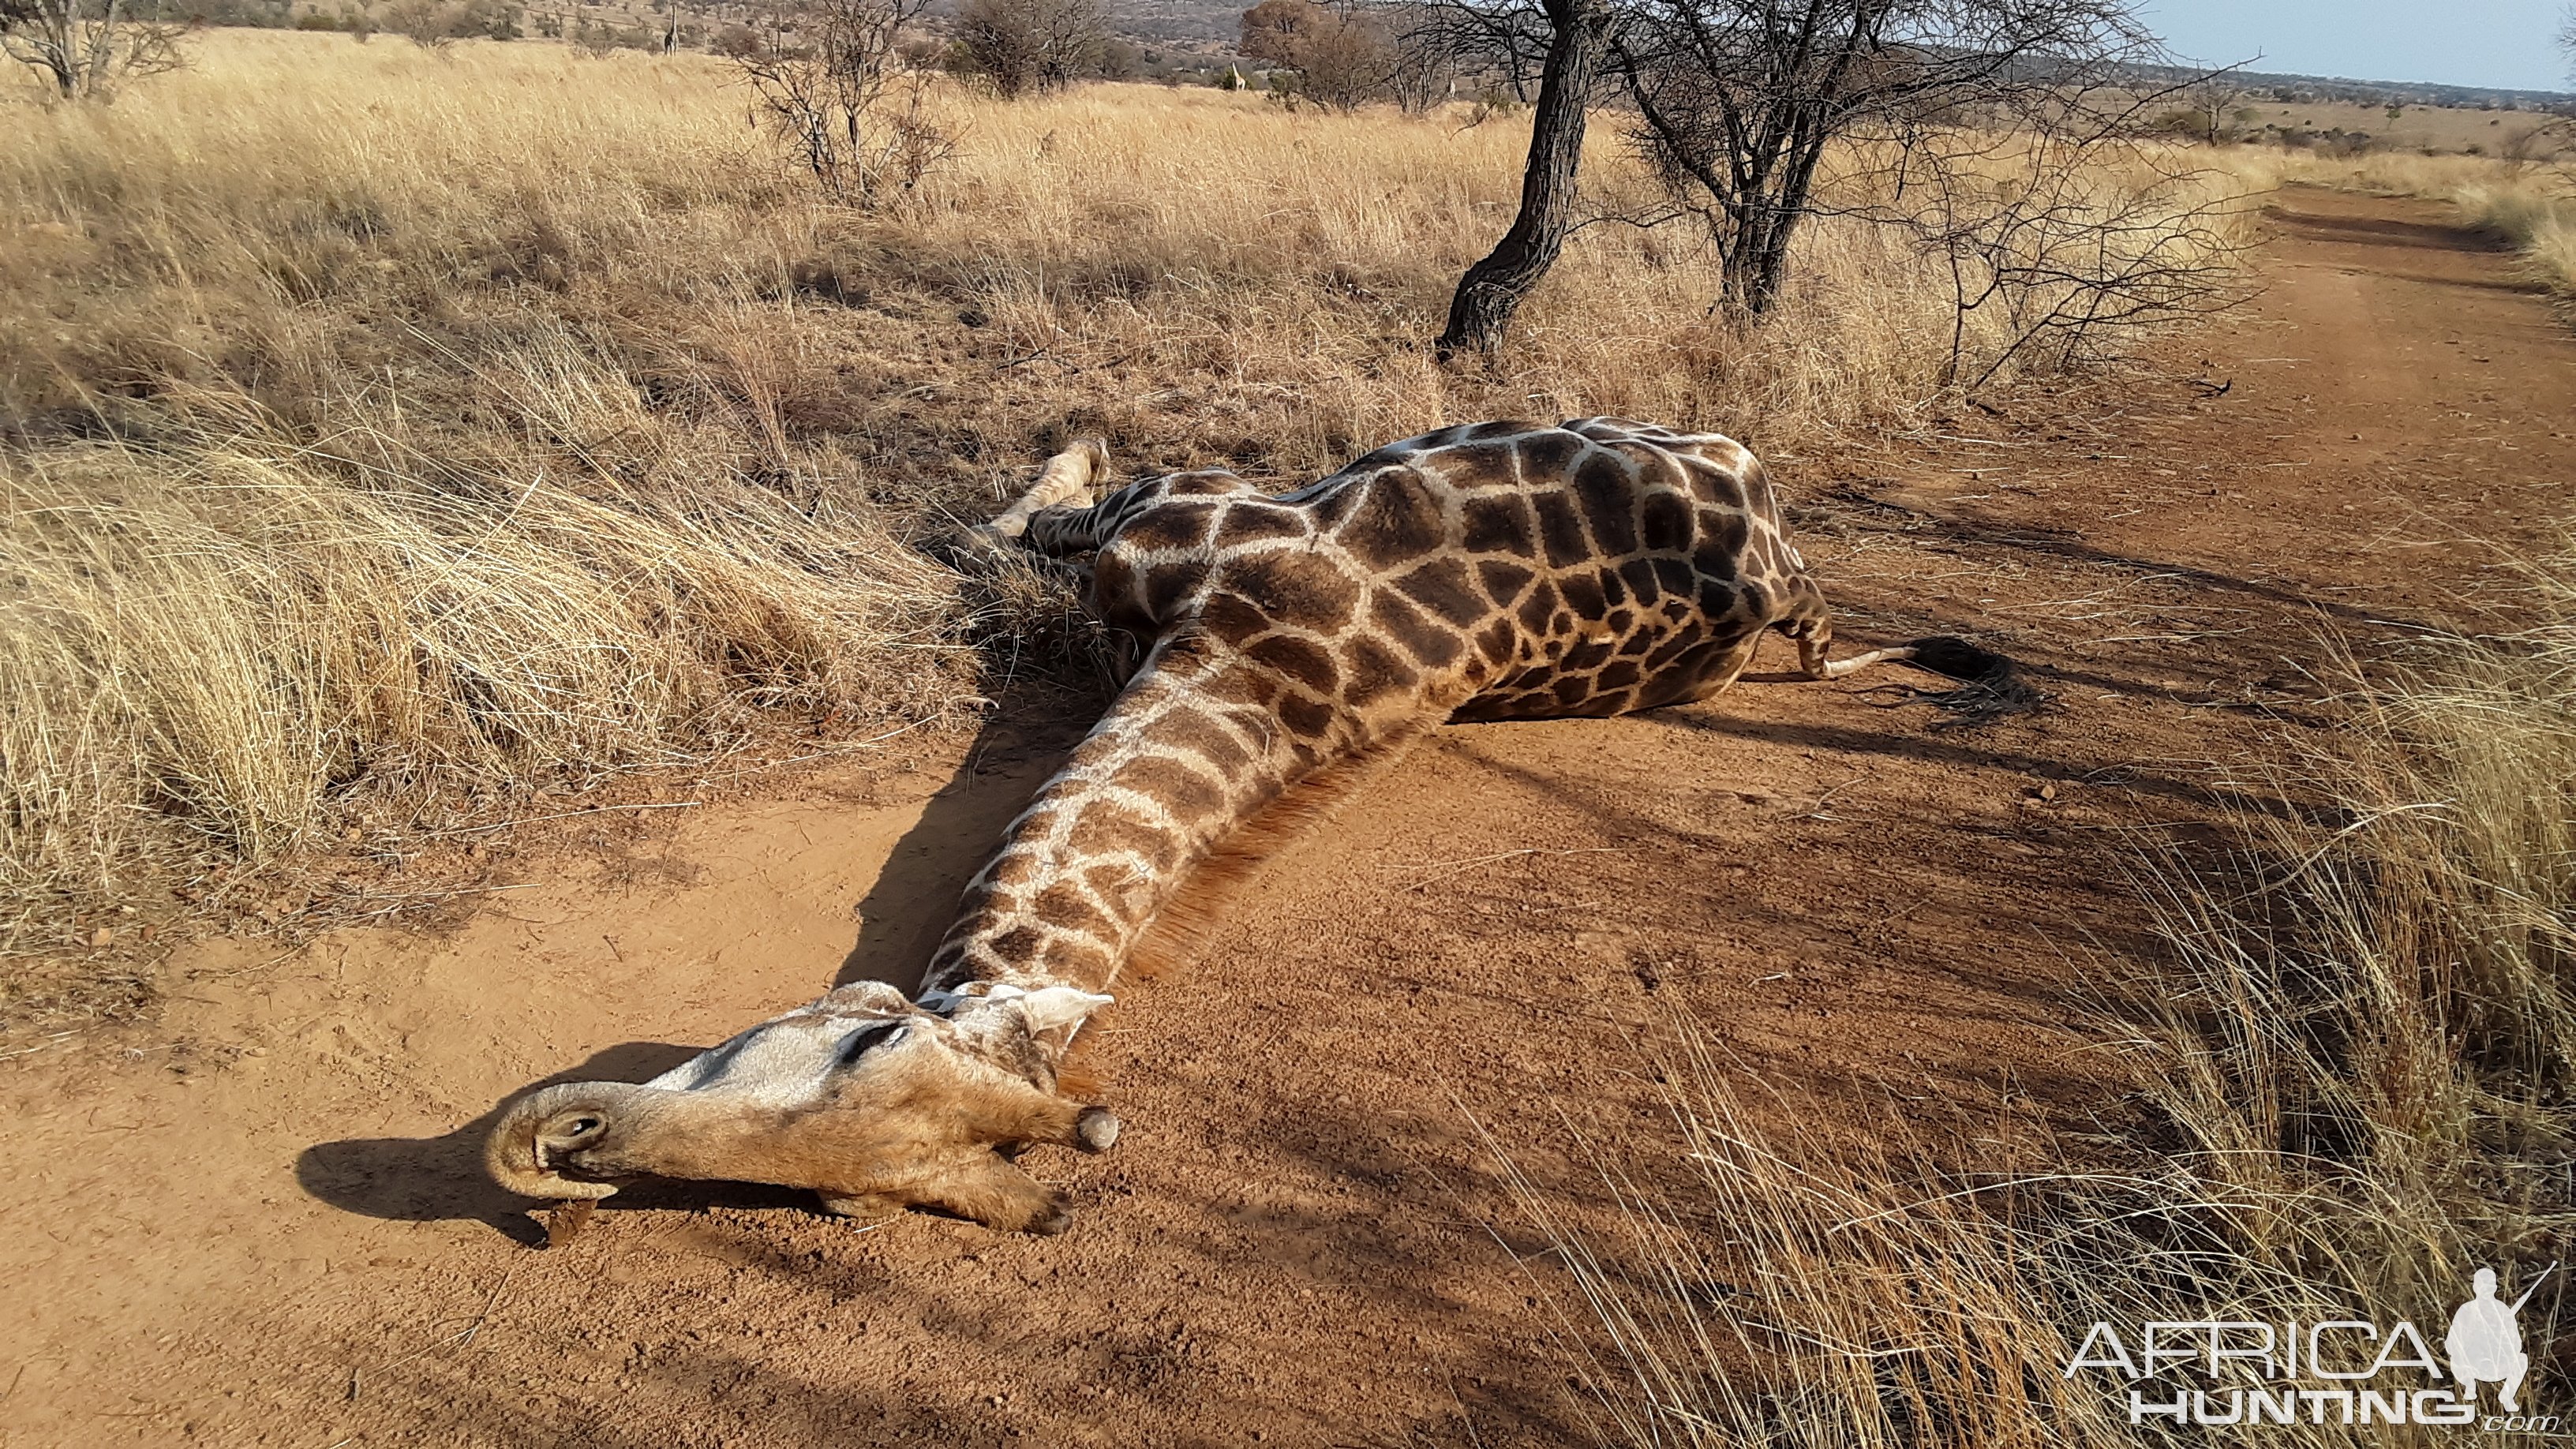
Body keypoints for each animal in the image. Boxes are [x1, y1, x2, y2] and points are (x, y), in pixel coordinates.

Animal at [492, 414, 1998, 1227]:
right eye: (841, 1200)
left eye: (866, 1049)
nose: (578, 1144)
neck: (1252, 665)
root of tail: (1784, 576)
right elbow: (1012, 536)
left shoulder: (1168, 516)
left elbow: (1022, 520)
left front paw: (1054, 456)